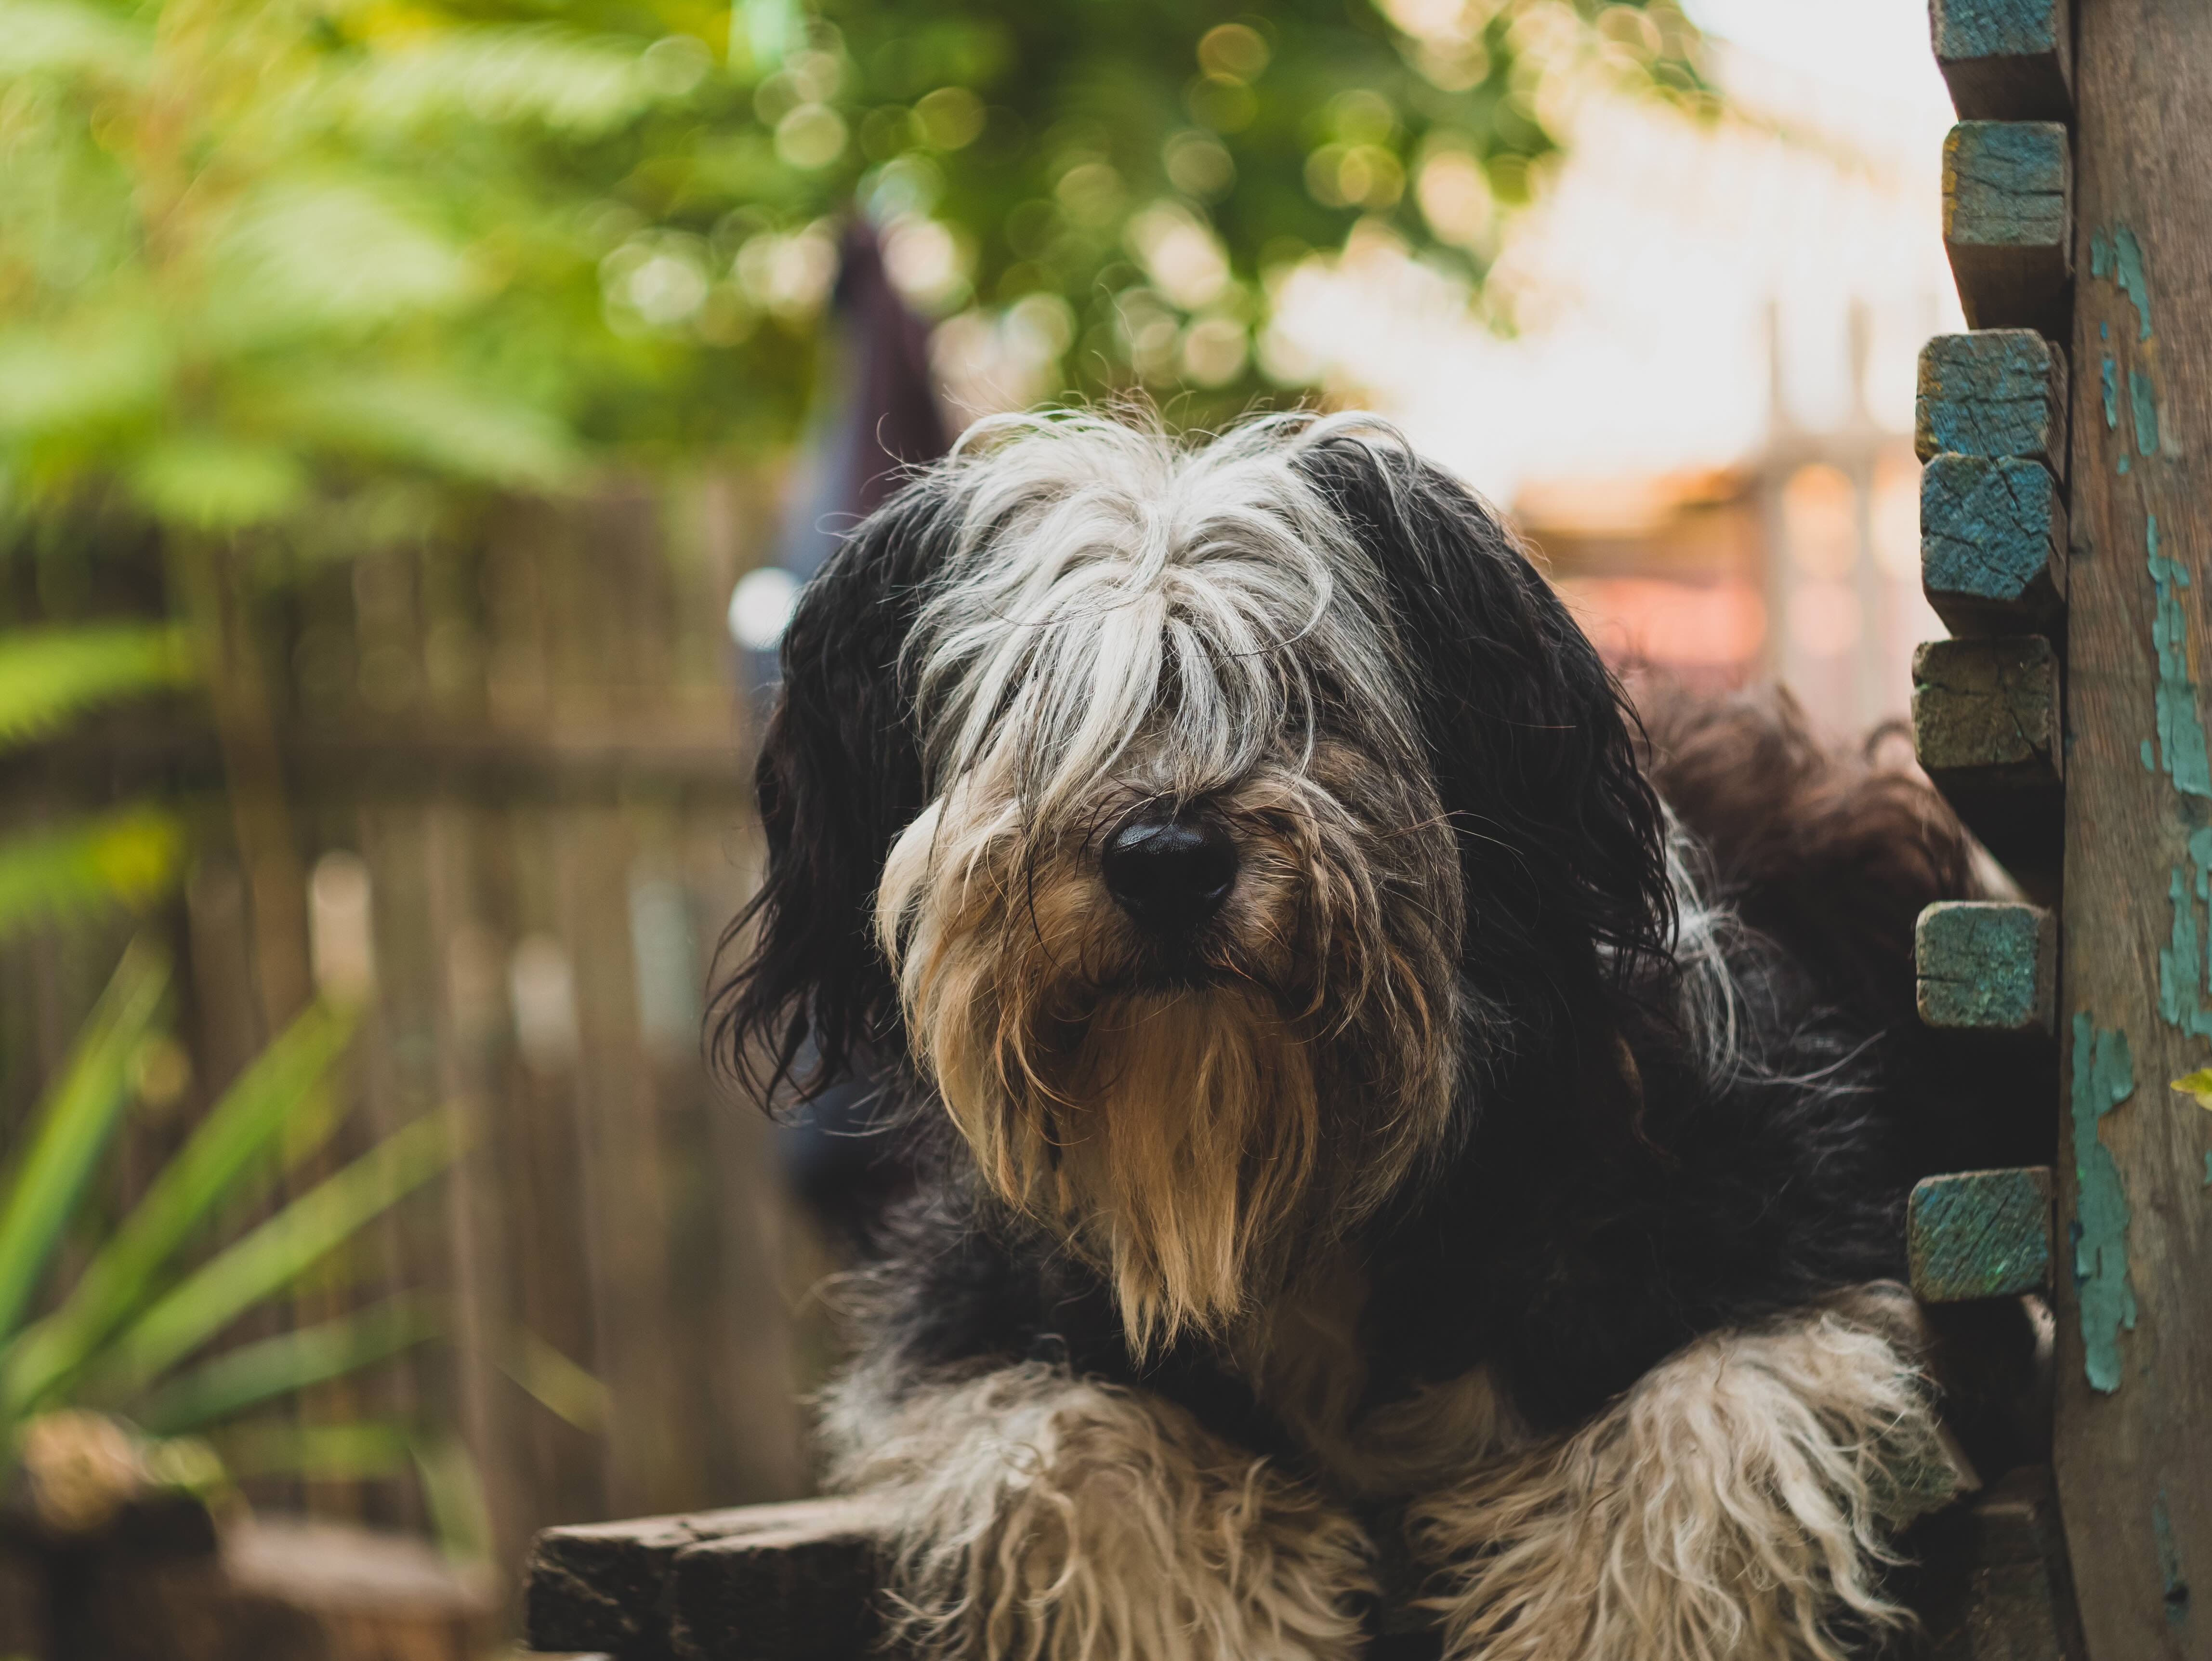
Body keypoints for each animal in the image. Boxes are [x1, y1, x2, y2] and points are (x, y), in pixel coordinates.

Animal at [716, 407, 2044, 1661]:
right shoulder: (973, 1332)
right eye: (1041, 697)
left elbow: (1690, 1453)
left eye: (1307, 692)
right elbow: (1075, 1459)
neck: (1284, 1182)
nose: (1166, 861)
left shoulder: (1824, 1255)